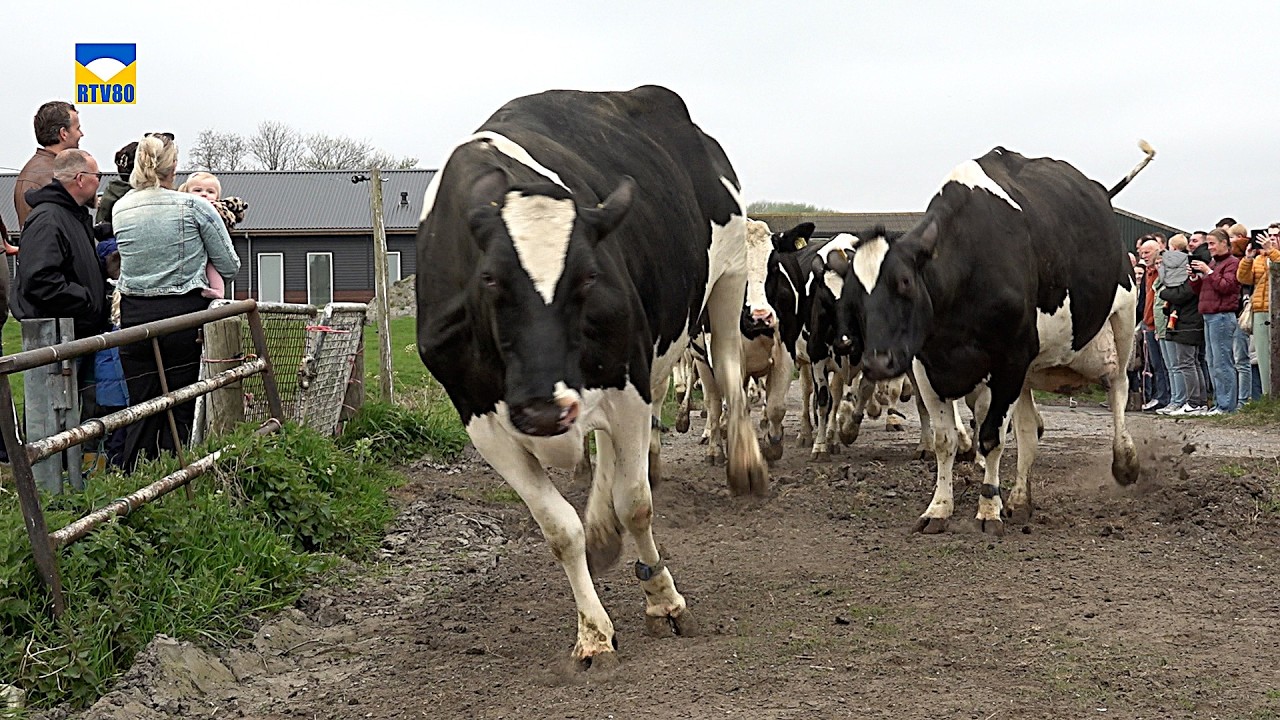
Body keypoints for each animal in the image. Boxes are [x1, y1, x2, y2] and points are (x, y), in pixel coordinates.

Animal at [415, 85, 766, 669]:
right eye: (489, 280)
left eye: (588, 276)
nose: (542, 409)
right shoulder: (484, 421)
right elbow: (560, 528)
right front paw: (593, 633)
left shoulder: (629, 386)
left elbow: (637, 502)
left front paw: (663, 600)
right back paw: (602, 530)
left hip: (727, 280)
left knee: (732, 377)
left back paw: (744, 465)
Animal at [849, 143, 1155, 535]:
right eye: (853, 295)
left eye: (904, 282)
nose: (877, 361)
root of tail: (1100, 192)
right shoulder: (925, 366)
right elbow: (945, 441)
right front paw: (939, 508)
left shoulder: (1009, 359)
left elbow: (992, 437)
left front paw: (988, 508)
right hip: (1031, 367)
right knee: (1028, 431)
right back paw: (1021, 500)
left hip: (1123, 317)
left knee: (1118, 387)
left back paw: (1125, 461)